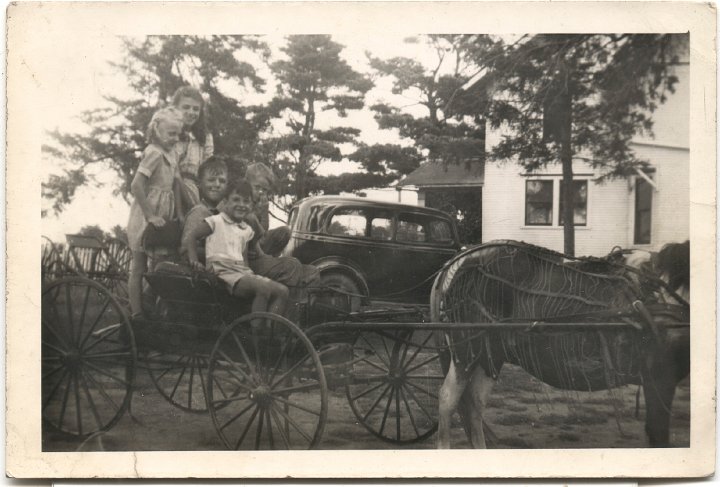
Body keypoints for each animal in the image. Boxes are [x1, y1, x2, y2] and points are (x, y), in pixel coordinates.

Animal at [434, 240, 692, 450]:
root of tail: (456, 261)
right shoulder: (659, 376)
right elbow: (658, 435)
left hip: (490, 355)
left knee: (474, 406)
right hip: (465, 351)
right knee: (447, 400)